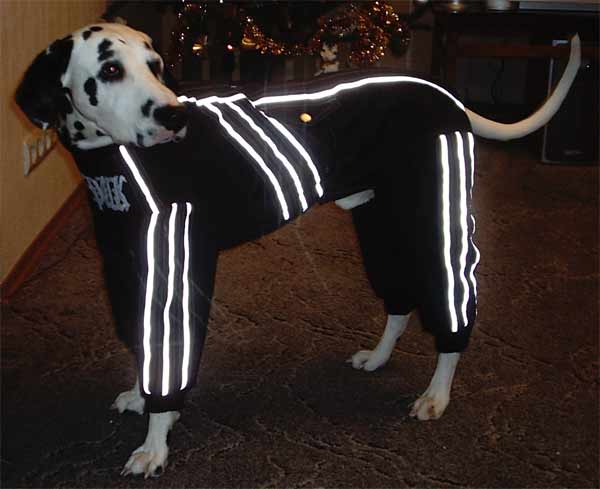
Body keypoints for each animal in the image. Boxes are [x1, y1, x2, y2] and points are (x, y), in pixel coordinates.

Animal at [15, 23, 580, 478]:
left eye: (154, 67)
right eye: (110, 69)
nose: (174, 115)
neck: (115, 164)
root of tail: (443, 93)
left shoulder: (176, 265)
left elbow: (169, 361)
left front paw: (157, 441)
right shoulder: (132, 267)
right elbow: (144, 348)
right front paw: (144, 397)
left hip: (435, 224)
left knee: (449, 311)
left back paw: (436, 394)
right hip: (380, 227)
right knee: (399, 303)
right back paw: (379, 357)